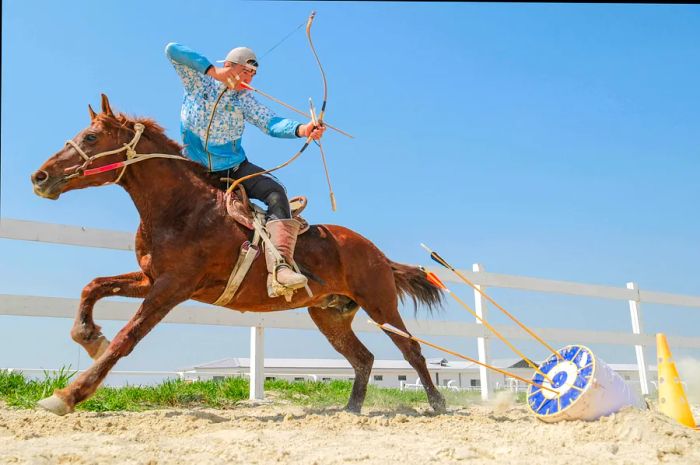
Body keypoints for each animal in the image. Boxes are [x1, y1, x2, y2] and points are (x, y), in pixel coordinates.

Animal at [30, 93, 446, 414]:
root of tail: (376, 252)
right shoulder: (150, 279)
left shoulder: (171, 289)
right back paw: (352, 408)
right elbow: (94, 286)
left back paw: (438, 404)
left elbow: (126, 338)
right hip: (330, 315)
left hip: (380, 305)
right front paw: (87, 335)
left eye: (91, 136)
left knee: (411, 350)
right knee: (363, 358)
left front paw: (68, 395)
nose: (40, 177)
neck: (183, 209)